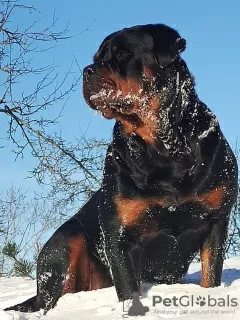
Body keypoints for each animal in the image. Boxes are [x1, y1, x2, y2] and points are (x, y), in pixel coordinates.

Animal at [5, 23, 238, 316]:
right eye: (96, 58)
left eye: (123, 53)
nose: (87, 70)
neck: (163, 149)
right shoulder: (118, 235)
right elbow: (128, 288)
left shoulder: (217, 222)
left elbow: (211, 276)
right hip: (64, 244)